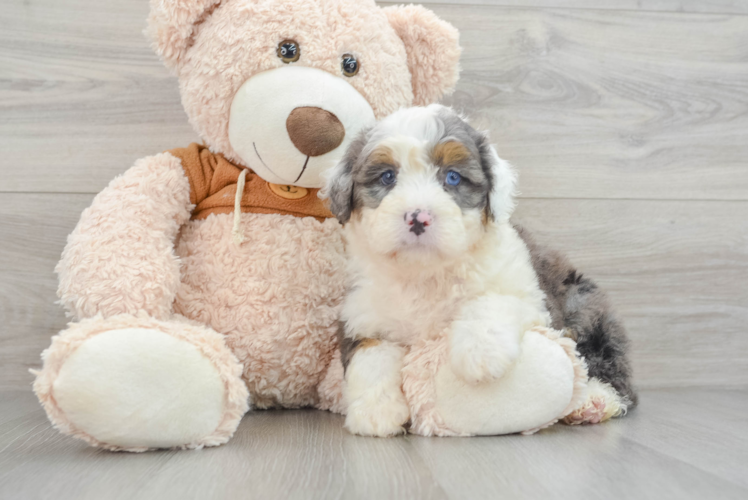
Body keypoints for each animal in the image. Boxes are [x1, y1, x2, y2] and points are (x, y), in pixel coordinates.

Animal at [322, 105, 636, 438]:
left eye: (452, 177)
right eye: (387, 176)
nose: (418, 218)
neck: (425, 274)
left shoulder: (530, 295)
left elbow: (491, 300)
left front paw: (480, 352)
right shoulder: (362, 315)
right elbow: (370, 356)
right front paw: (376, 412)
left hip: (582, 308)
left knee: (609, 367)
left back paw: (595, 400)